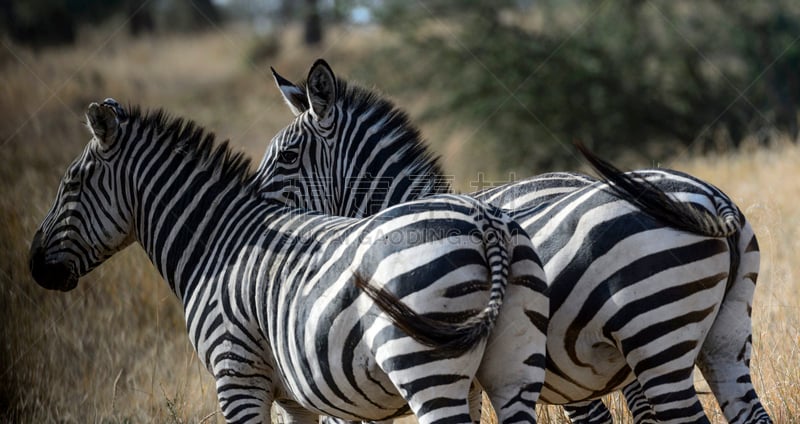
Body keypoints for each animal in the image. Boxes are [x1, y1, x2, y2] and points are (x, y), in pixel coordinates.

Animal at [26, 98, 552, 424]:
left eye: (72, 183)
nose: (33, 265)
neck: (216, 245)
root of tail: (484, 219)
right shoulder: (295, 398)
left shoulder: (237, 377)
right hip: (514, 370)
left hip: (426, 370)